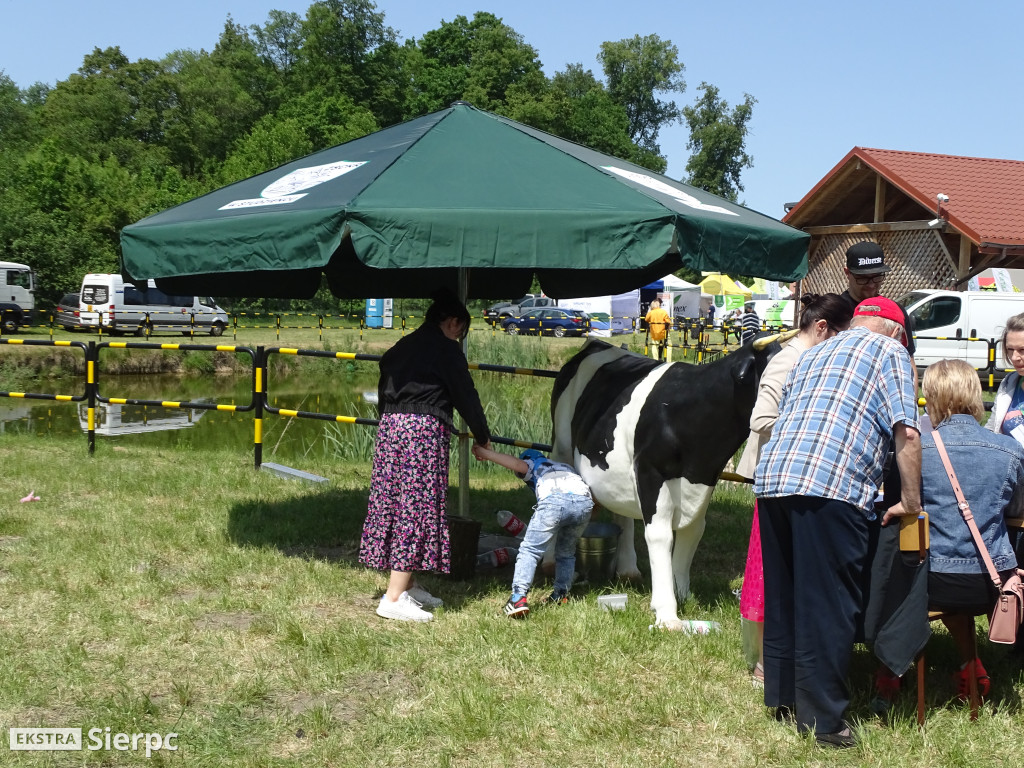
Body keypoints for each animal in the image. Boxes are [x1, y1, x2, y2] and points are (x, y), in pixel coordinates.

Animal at [552, 335, 790, 630]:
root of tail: (595, 343)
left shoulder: (704, 477)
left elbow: (694, 530)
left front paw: (682, 593)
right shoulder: (650, 472)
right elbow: (660, 535)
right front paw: (667, 613)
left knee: (623, 516)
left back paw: (628, 569)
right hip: (561, 448)